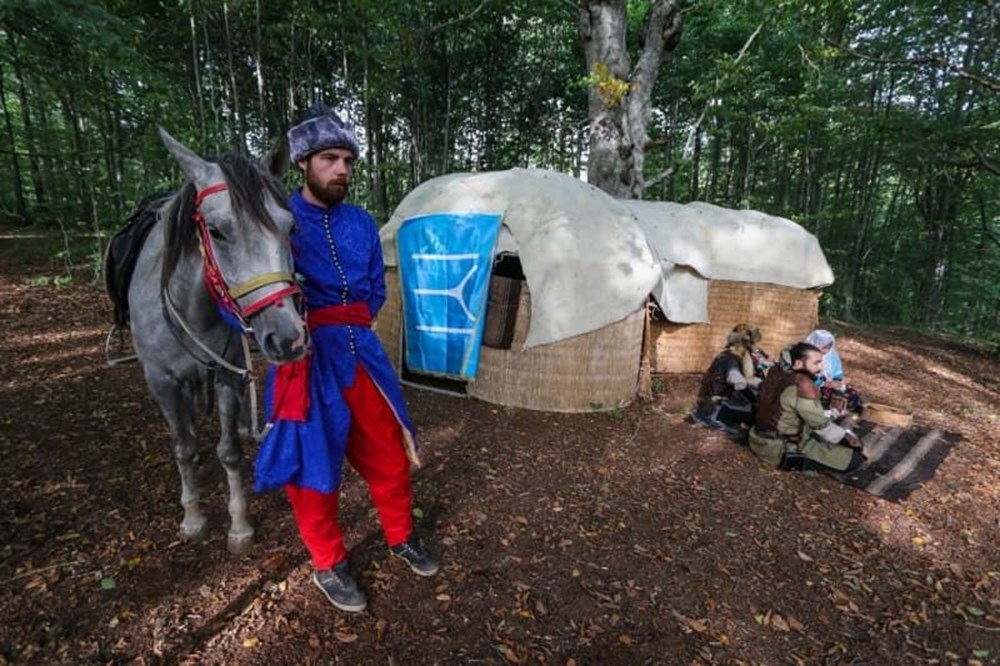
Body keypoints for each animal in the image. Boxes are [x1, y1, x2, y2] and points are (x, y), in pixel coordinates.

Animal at [129, 128, 308, 548]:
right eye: (215, 230)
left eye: (290, 226)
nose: (289, 338)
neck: (193, 309)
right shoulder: (162, 382)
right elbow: (184, 447)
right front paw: (193, 517)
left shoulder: (228, 373)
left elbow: (229, 451)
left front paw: (239, 524)